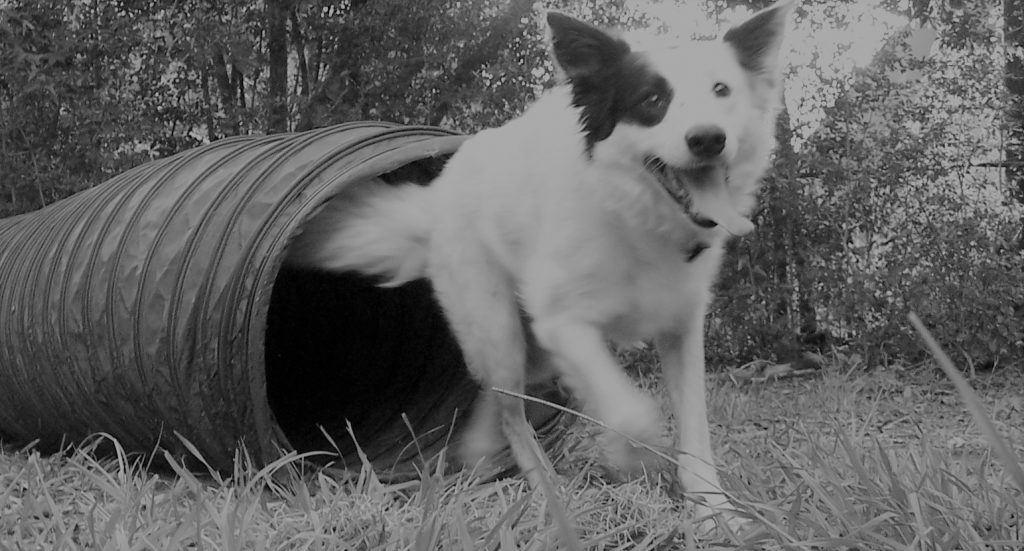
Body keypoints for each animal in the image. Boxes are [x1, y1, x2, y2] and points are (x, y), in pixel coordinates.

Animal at [286, 1, 790, 522]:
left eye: (722, 90)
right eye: (652, 99)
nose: (708, 139)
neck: (633, 217)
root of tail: (439, 195)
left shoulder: (681, 328)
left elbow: (695, 429)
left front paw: (716, 514)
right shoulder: (561, 321)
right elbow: (632, 412)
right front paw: (629, 454)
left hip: (531, 350)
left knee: (499, 397)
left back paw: (480, 450)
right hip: (498, 327)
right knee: (510, 407)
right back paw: (546, 488)